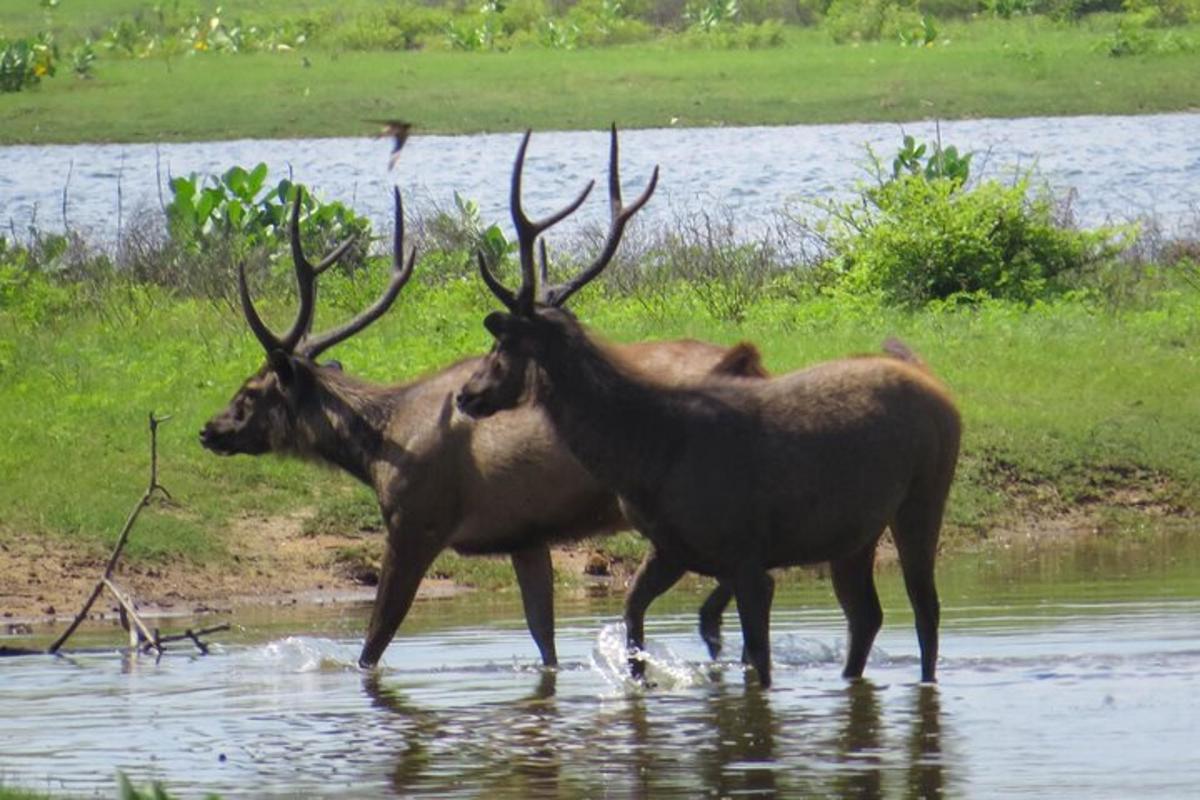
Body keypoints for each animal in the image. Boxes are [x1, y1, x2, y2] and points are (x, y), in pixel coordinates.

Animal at [195, 185, 758, 671]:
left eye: (251, 390)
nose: (208, 429)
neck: (379, 448)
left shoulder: (416, 523)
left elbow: (375, 641)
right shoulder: (525, 535)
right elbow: (545, 641)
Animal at [453, 126, 960, 690]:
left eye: (502, 345)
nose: (466, 394)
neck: (645, 457)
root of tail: (937, 385)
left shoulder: (747, 553)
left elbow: (757, 662)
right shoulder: (673, 548)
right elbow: (633, 618)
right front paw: (642, 680)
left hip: (924, 491)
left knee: (925, 609)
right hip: (855, 532)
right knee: (867, 616)